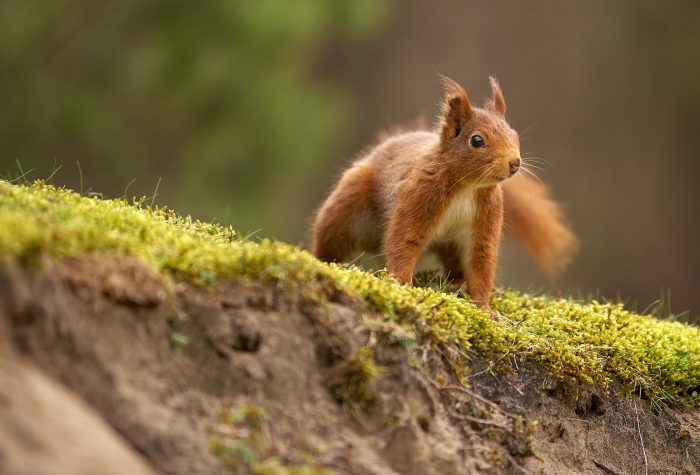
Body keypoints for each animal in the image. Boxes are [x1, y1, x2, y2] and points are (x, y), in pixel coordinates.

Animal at [308, 76, 576, 318]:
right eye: (477, 140)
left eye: (515, 134)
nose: (515, 163)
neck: (467, 188)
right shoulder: (418, 196)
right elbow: (404, 241)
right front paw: (400, 283)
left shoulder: (486, 219)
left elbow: (481, 262)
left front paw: (485, 307)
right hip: (347, 205)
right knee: (329, 240)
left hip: (450, 244)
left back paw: (463, 283)